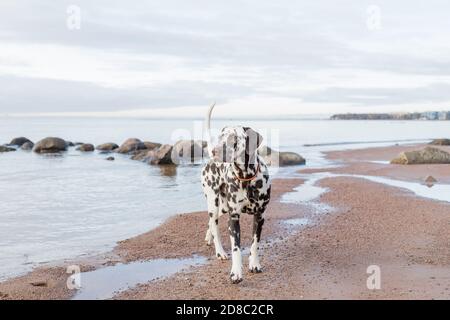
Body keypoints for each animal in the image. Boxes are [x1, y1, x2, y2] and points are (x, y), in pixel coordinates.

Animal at [201, 104, 270, 284]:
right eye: (220, 137)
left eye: (233, 138)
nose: (214, 151)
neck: (246, 178)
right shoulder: (234, 218)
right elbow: (236, 249)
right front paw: (236, 273)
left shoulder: (260, 216)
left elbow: (254, 244)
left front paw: (254, 264)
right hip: (214, 204)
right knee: (214, 225)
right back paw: (219, 251)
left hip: (223, 207)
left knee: (211, 223)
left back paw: (208, 237)